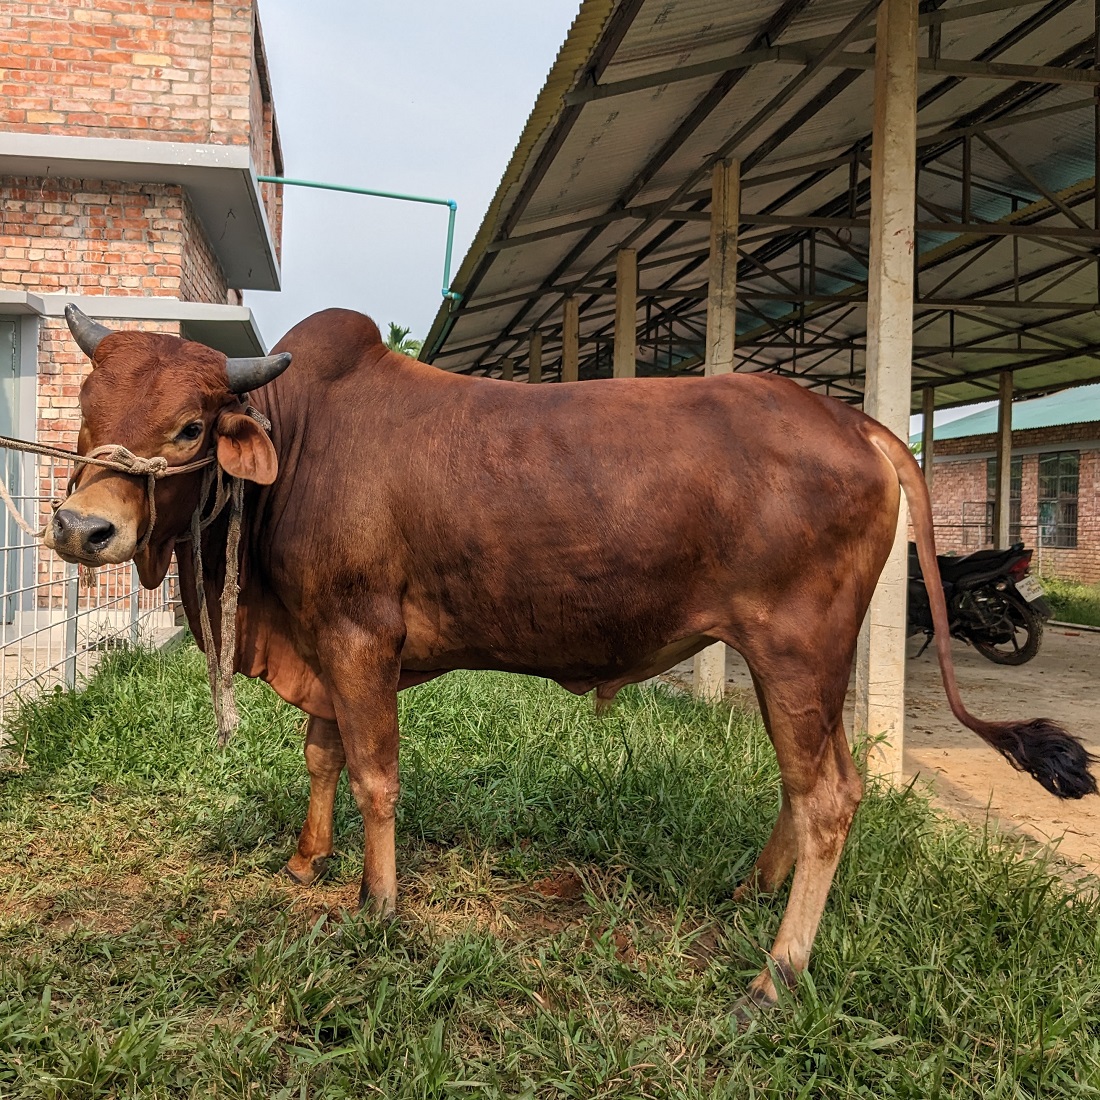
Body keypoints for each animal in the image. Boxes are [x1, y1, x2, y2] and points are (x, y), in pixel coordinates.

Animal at [47, 305, 1095, 1007]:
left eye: (190, 425)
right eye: (87, 410)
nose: (83, 528)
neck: (299, 444)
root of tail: (855, 421)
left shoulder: (358, 636)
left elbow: (376, 773)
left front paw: (376, 903)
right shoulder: (322, 640)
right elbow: (322, 754)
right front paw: (307, 861)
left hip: (797, 652)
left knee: (831, 794)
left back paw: (777, 972)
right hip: (800, 665)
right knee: (813, 784)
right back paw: (751, 889)